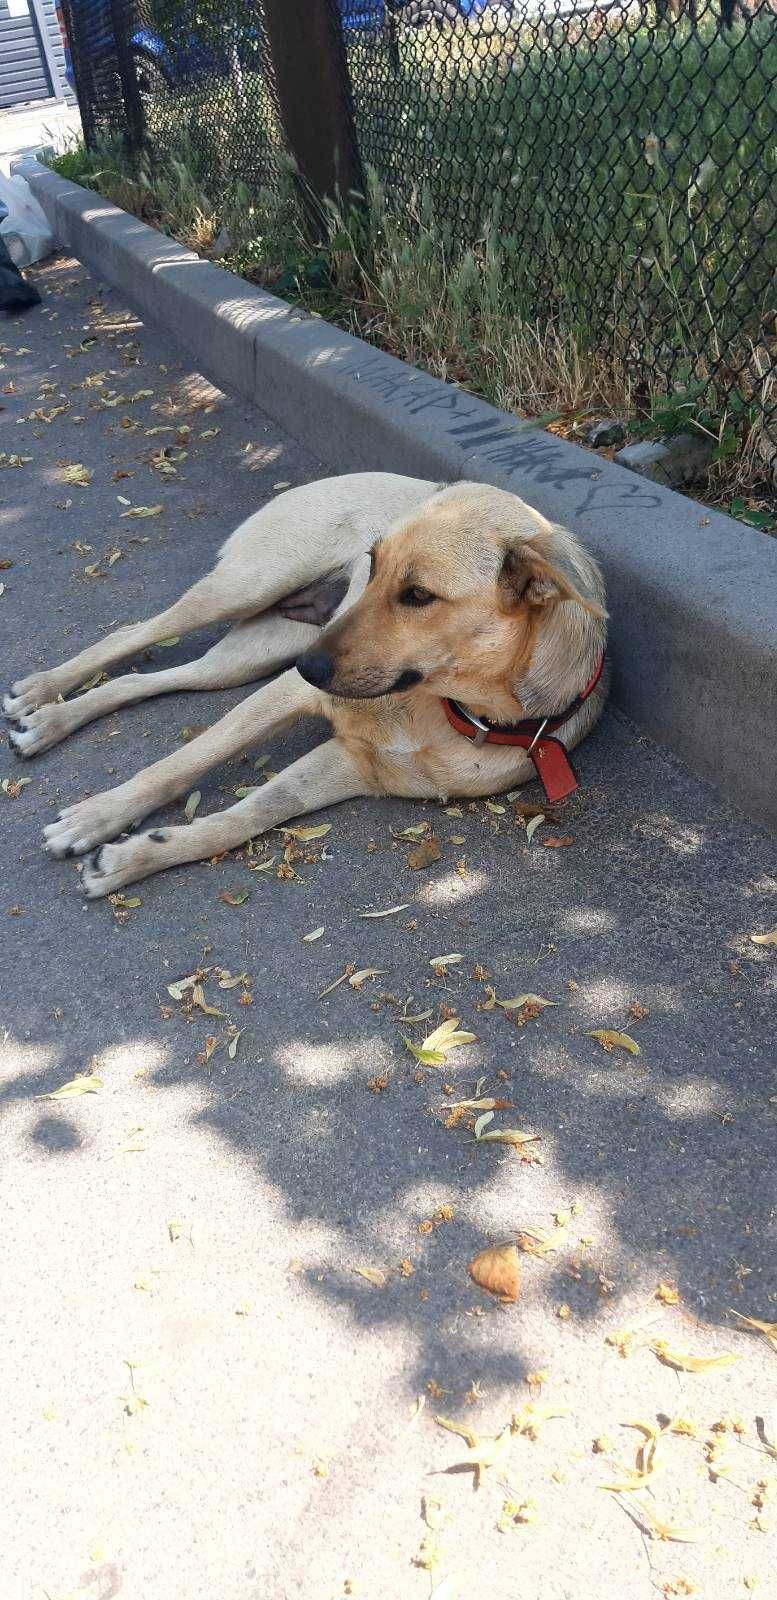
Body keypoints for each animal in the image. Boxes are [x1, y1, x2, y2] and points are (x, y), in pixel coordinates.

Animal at [1, 473, 607, 902]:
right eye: (372, 565)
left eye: (418, 595)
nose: (309, 666)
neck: (447, 705)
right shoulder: (289, 695)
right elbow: (181, 763)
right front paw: (97, 817)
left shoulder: (352, 766)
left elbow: (246, 817)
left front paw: (140, 855)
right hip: (246, 592)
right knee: (129, 636)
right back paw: (41, 693)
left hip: (250, 655)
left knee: (150, 677)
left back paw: (51, 718)